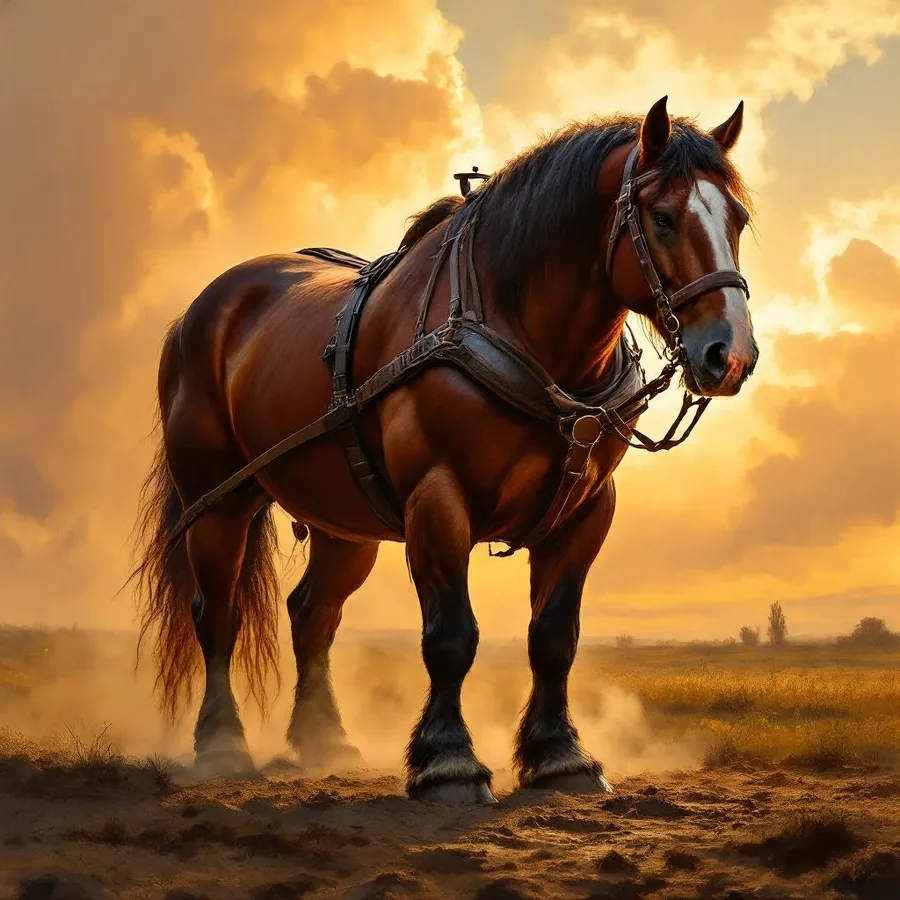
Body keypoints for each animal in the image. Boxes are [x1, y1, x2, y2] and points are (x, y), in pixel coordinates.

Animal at [131, 96, 758, 805]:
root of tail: (203, 310)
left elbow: (554, 637)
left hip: (346, 523)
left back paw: (323, 739)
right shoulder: (438, 498)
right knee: (217, 614)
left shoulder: (585, 512)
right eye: (662, 217)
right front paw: (448, 761)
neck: (524, 333)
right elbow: (451, 636)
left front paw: (560, 756)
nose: (731, 354)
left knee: (312, 614)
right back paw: (222, 744)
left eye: (736, 219)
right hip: (216, 501)